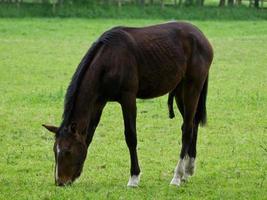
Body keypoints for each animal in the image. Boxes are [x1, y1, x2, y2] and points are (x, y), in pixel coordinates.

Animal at [42, 21, 214, 187]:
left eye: (67, 151)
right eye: (55, 150)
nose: (60, 182)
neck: (109, 60)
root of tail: (202, 38)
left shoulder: (128, 98)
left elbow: (131, 136)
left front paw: (134, 177)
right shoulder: (99, 102)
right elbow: (89, 135)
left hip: (192, 87)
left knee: (187, 129)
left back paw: (177, 176)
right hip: (180, 91)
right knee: (192, 124)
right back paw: (188, 170)